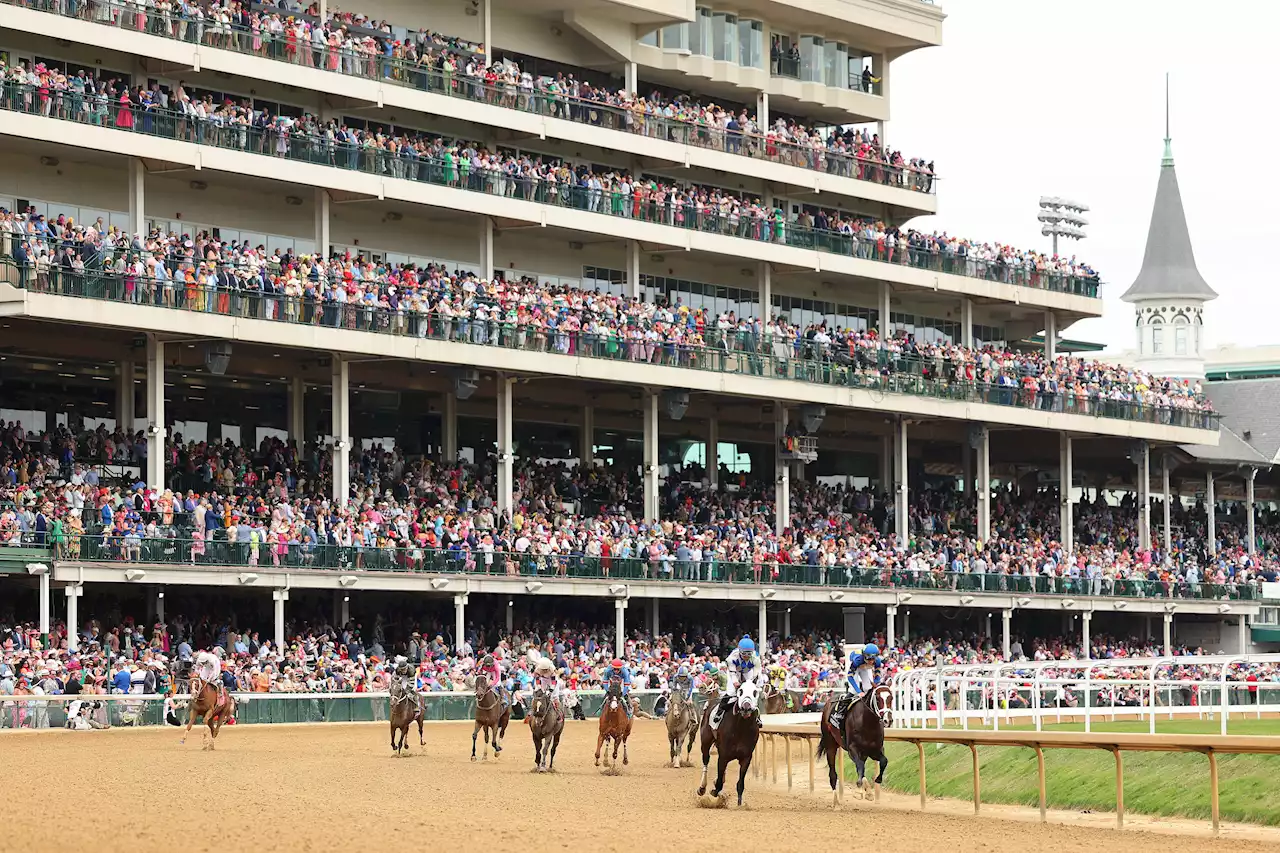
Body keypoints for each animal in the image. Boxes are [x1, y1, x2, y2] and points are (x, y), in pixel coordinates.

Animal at [701, 671, 757, 804]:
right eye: (740, 691)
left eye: (755, 692)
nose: (746, 708)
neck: (741, 729)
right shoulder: (723, 756)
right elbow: (719, 783)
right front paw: (714, 791)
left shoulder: (746, 758)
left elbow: (740, 784)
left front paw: (740, 804)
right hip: (705, 742)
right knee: (705, 761)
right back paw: (702, 788)